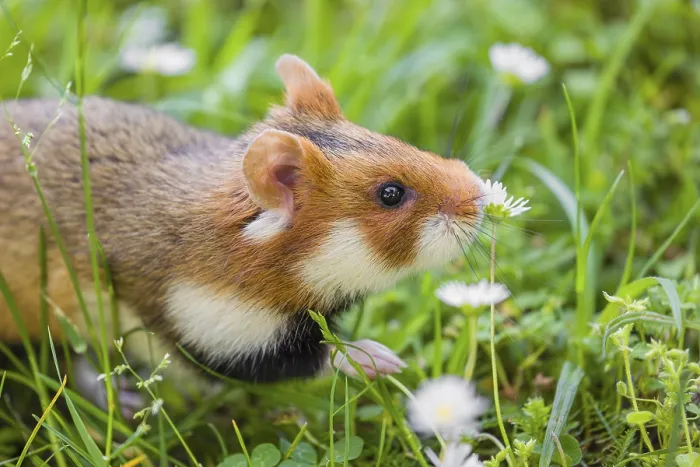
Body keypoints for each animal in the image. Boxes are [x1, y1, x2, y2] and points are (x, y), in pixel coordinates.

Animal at [0, 54, 484, 396]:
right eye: (390, 193)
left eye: (397, 140)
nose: (482, 194)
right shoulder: (206, 330)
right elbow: (309, 359)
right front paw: (381, 358)